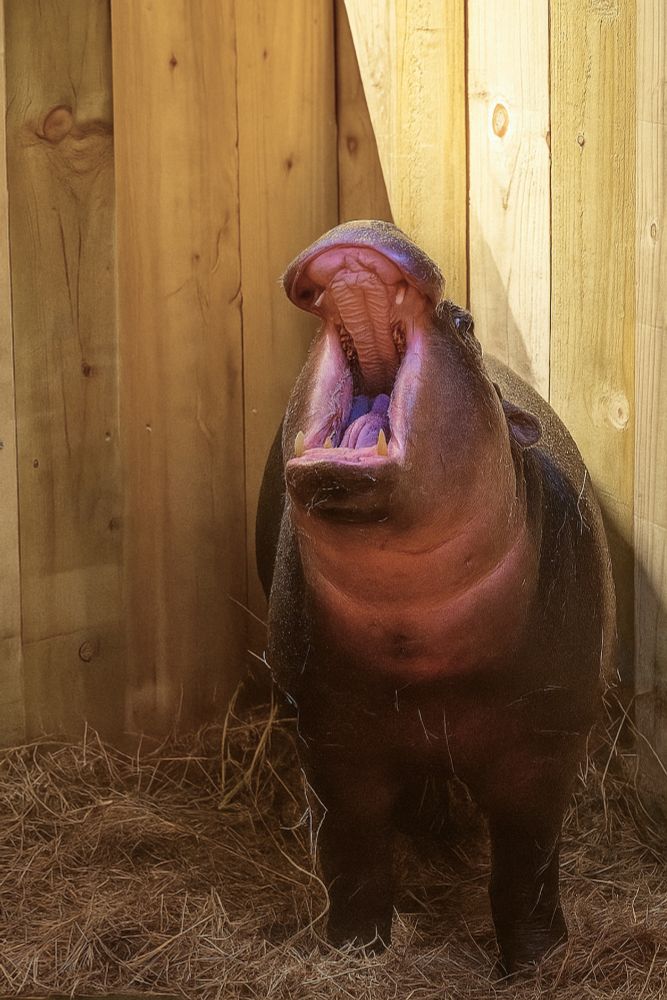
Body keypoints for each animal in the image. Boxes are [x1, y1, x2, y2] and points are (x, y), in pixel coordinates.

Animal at [255, 220, 615, 974]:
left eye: (465, 321)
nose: (369, 223)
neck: (411, 618)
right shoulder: (331, 734)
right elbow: (353, 854)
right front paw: (354, 952)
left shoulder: (544, 741)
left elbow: (527, 862)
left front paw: (533, 964)